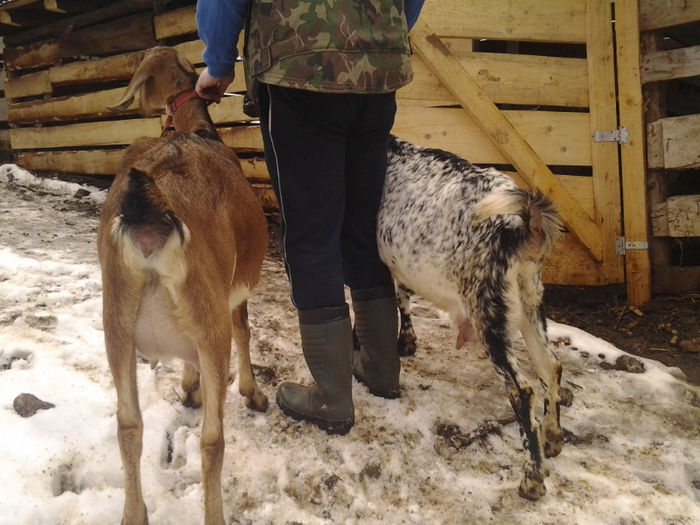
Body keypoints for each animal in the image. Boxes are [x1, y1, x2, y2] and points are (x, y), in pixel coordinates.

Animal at [95, 46, 266, 524]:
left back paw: (134, 513)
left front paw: (189, 386)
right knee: (212, 440)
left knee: (128, 424)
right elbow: (244, 330)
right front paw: (251, 393)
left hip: (116, 324)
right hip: (209, 323)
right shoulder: (233, 293)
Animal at [380, 135, 568, 500]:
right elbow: (402, 292)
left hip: (488, 309)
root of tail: (523, 223)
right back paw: (552, 438)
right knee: (550, 365)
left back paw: (532, 479)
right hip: (529, 299)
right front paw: (407, 341)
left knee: (522, 390)